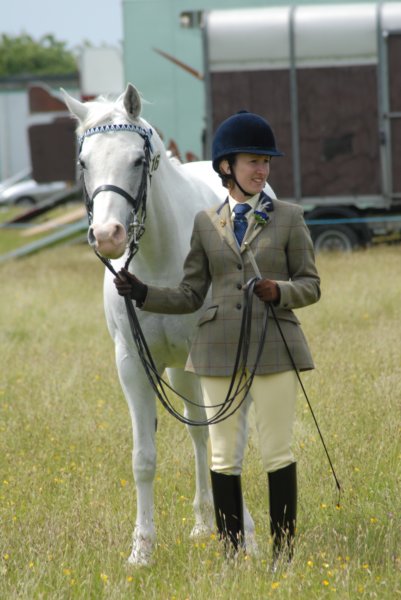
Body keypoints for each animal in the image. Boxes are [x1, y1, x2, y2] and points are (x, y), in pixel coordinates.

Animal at [62, 84, 276, 568]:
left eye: (137, 161)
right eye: (84, 163)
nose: (109, 236)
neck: (161, 263)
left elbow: (228, 440)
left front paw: (248, 537)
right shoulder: (132, 364)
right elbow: (144, 457)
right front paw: (141, 550)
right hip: (181, 369)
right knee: (198, 433)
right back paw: (202, 524)